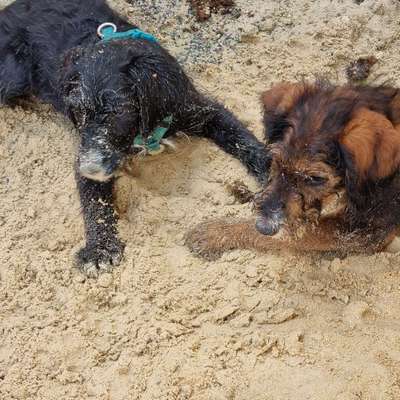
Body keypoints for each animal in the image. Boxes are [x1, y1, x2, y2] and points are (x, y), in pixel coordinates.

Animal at [0, 0, 268, 276]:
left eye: (117, 111)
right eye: (78, 110)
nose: (90, 168)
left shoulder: (200, 109)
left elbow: (242, 138)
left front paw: (271, 170)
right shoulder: (85, 152)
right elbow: (94, 201)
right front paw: (100, 248)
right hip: (13, 77)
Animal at [186, 81, 400, 260]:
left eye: (315, 179)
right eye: (276, 161)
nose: (264, 227)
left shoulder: (361, 233)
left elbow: (288, 235)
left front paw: (213, 232)